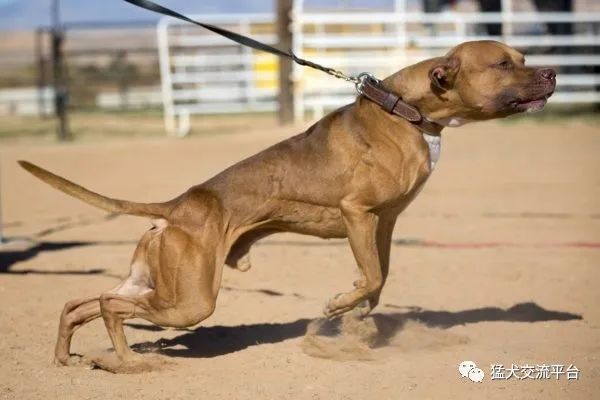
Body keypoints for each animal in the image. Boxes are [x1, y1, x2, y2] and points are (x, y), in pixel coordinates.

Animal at [19, 40, 556, 368]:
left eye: (522, 56)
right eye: (503, 64)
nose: (552, 72)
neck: (405, 110)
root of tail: (176, 207)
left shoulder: (384, 223)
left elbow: (379, 280)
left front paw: (352, 318)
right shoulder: (357, 214)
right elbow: (373, 278)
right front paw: (340, 306)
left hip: (156, 284)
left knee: (81, 302)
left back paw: (68, 357)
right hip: (190, 300)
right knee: (109, 304)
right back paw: (130, 362)